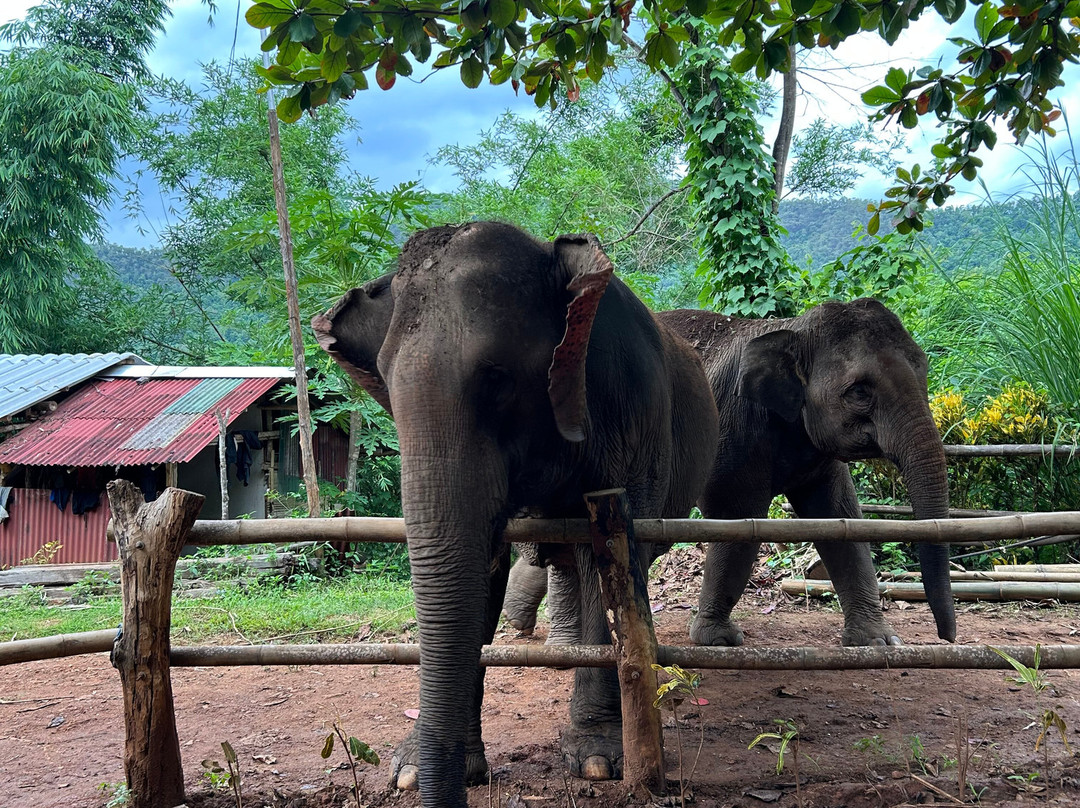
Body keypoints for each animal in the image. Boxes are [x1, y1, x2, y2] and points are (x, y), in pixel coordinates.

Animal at [312, 221, 719, 807]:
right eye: (386, 384)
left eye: (497, 379)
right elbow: (483, 567)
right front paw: (414, 773)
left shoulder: (631, 410)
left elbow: (608, 559)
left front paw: (598, 763)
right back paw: (564, 650)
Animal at [503, 299, 956, 648]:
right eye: (859, 391)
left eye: (924, 370)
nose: (946, 638)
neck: (789, 328)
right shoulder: (734, 428)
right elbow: (738, 522)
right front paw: (718, 640)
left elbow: (841, 521)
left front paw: (879, 642)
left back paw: (527, 626)